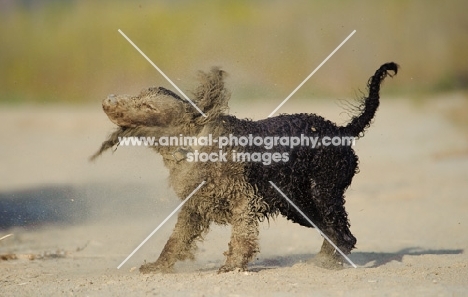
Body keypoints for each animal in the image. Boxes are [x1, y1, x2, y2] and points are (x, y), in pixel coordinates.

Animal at [92, 61, 398, 272]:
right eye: (138, 95)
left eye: (149, 106)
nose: (108, 100)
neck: (193, 143)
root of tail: (342, 131)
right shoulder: (194, 206)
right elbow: (174, 242)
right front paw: (158, 267)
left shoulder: (245, 200)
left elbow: (241, 238)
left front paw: (231, 266)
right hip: (298, 205)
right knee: (335, 233)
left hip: (323, 193)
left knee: (344, 235)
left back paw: (326, 263)